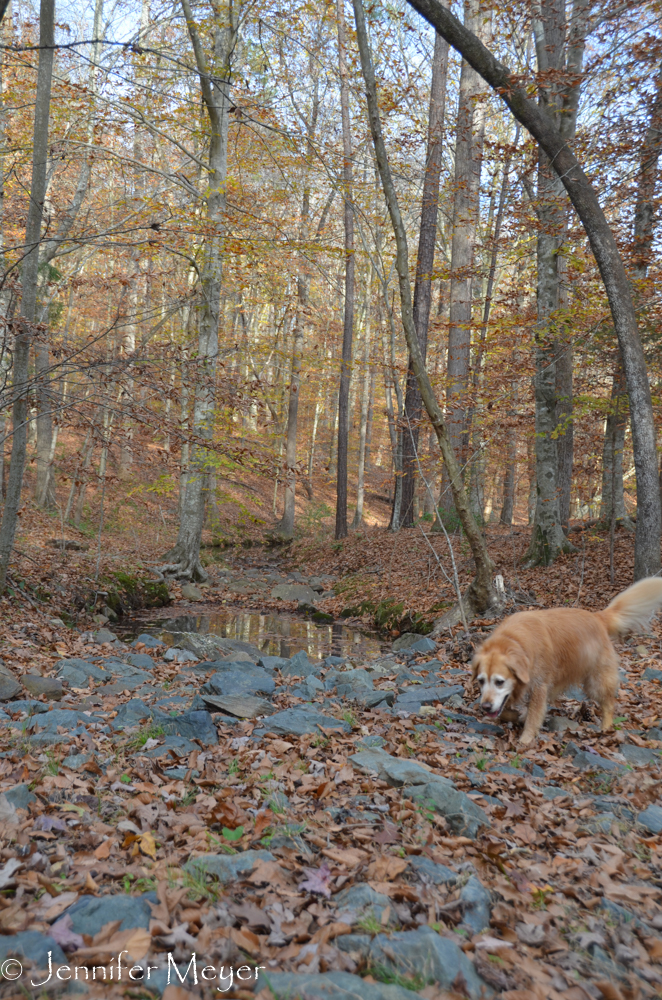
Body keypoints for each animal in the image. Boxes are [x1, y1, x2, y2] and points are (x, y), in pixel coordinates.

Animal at [474, 580, 662, 744]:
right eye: (481, 681)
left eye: (499, 682)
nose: (485, 707)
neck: (513, 641)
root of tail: (597, 616)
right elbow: (505, 711)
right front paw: (517, 717)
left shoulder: (539, 686)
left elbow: (534, 715)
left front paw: (526, 738)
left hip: (595, 682)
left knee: (608, 703)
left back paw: (605, 728)